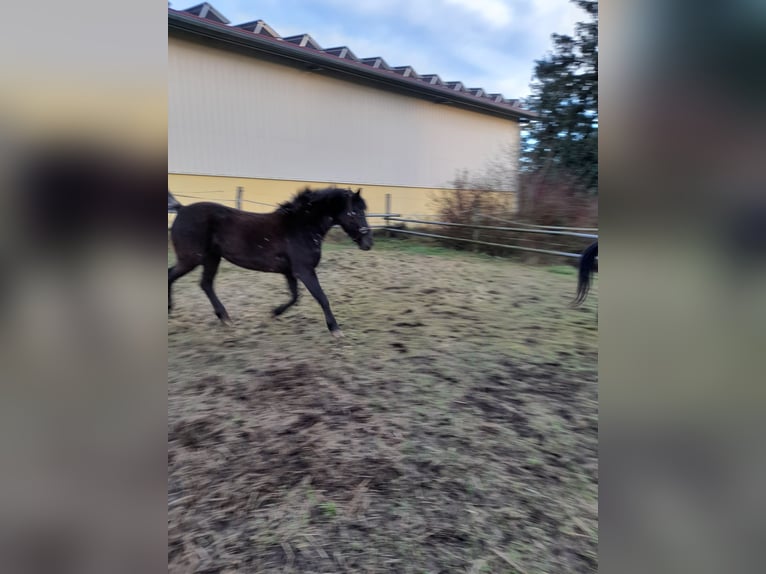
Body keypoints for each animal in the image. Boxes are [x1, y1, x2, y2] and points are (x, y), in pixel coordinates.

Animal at [168, 186, 373, 337]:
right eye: (354, 212)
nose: (368, 243)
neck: (302, 226)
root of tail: (182, 209)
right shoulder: (304, 270)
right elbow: (321, 297)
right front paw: (335, 329)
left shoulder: (291, 272)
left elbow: (295, 297)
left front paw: (274, 313)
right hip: (192, 259)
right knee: (173, 275)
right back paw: (171, 310)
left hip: (212, 257)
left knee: (206, 284)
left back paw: (225, 318)